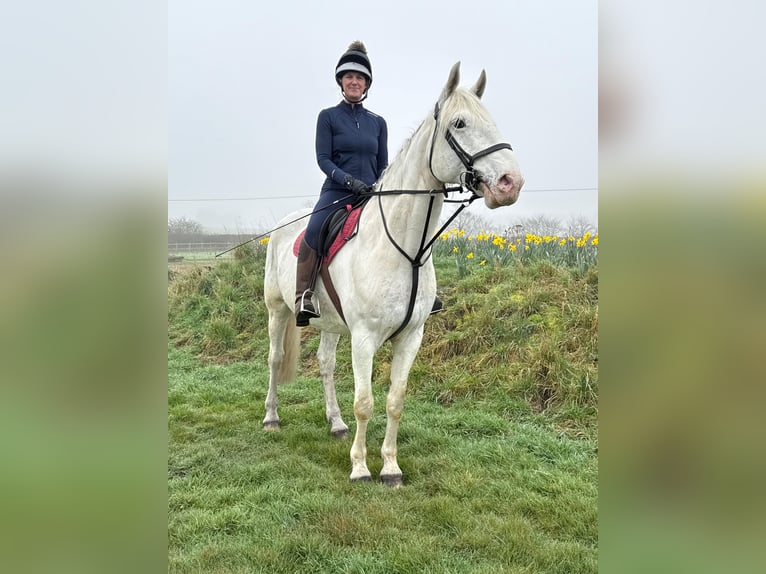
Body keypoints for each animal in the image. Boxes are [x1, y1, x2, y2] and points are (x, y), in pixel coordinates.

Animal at [262, 62, 524, 486]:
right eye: (461, 123)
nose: (510, 183)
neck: (406, 250)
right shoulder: (364, 338)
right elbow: (365, 402)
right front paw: (359, 468)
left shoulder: (411, 338)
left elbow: (395, 401)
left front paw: (390, 467)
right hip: (278, 310)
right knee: (274, 358)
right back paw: (271, 417)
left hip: (331, 325)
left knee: (325, 364)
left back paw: (335, 423)